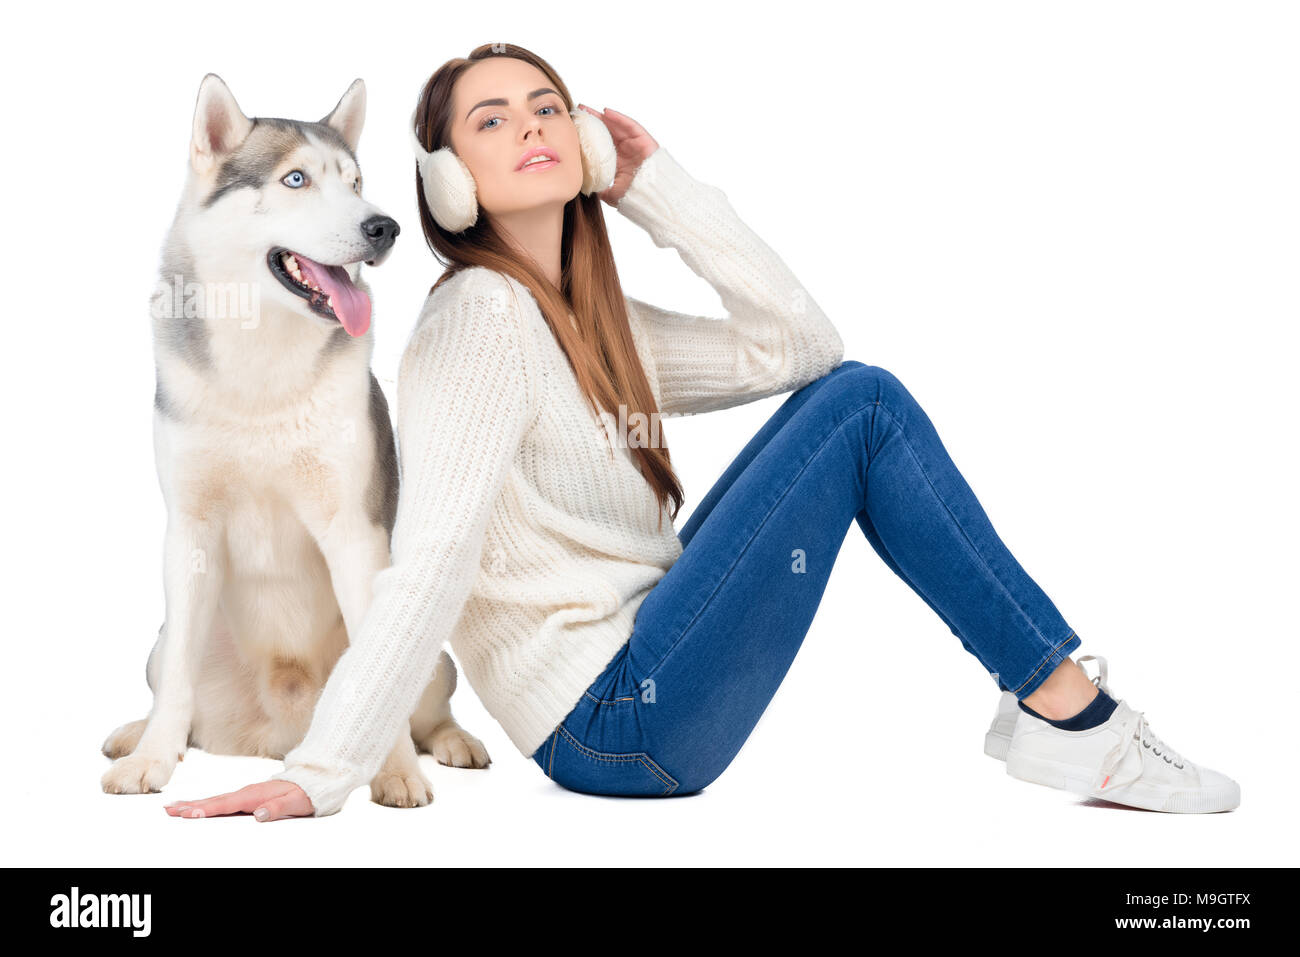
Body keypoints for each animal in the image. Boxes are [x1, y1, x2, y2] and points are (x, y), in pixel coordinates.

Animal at [100, 76, 488, 806]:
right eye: (296, 179)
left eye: (357, 182)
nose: (384, 226)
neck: (262, 365)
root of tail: (279, 730)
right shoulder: (189, 529)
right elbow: (177, 685)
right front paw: (151, 759)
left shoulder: (354, 531)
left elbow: (377, 679)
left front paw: (396, 770)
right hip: (162, 645)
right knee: (178, 688)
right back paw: (139, 733)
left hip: (428, 647)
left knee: (426, 700)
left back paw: (450, 741)